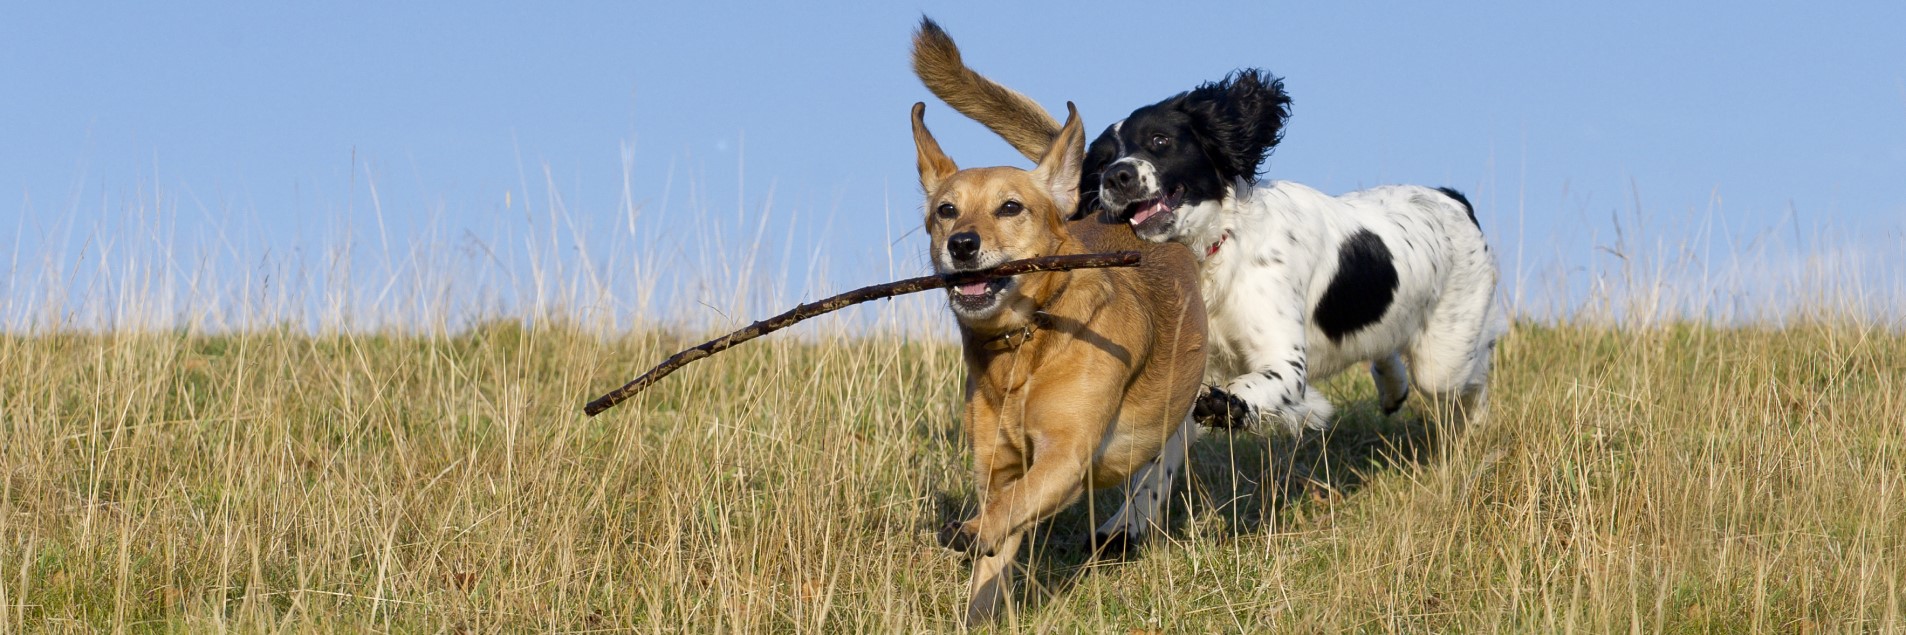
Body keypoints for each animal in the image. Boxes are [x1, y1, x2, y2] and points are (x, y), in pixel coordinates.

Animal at [911, 101, 1204, 621]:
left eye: (1010, 207)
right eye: (946, 210)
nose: (961, 243)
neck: (1022, 349)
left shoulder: (1064, 457)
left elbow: (1013, 503)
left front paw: (970, 530)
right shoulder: (997, 468)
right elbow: (996, 545)